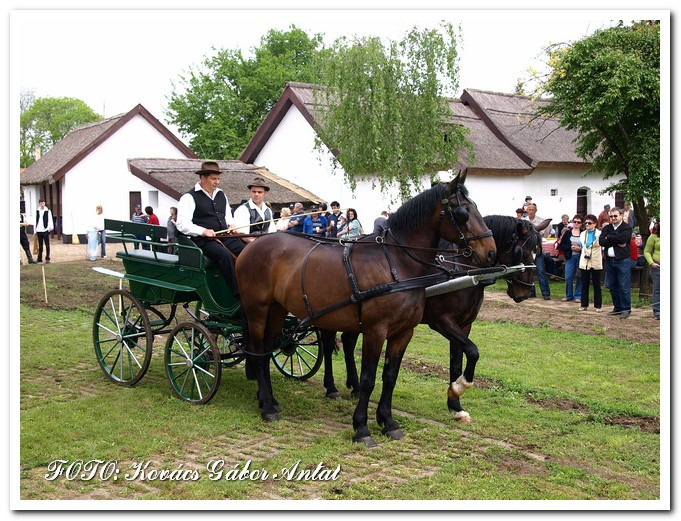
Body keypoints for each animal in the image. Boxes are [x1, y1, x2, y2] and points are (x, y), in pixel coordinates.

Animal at [234, 173, 494, 444]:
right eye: (463, 211)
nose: (490, 252)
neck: (396, 264)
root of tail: (252, 246)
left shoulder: (404, 333)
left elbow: (390, 376)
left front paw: (388, 421)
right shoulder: (376, 330)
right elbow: (369, 378)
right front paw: (361, 427)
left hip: (277, 310)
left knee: (267, 350)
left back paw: (270, 400)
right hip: (257, 309)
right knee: (258, 351)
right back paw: (269, 406)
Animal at [326, 215, 548, 422]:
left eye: (538, 253)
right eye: (522, 252)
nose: (524, 292)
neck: (462, 269)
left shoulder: (464, 325)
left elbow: (457, 362)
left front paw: (455, 405)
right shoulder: (442, 321)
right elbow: (473, 351)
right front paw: (458, 388)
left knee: (347, 342)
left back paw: (354, 386)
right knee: (328, 343)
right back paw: (331, 387)